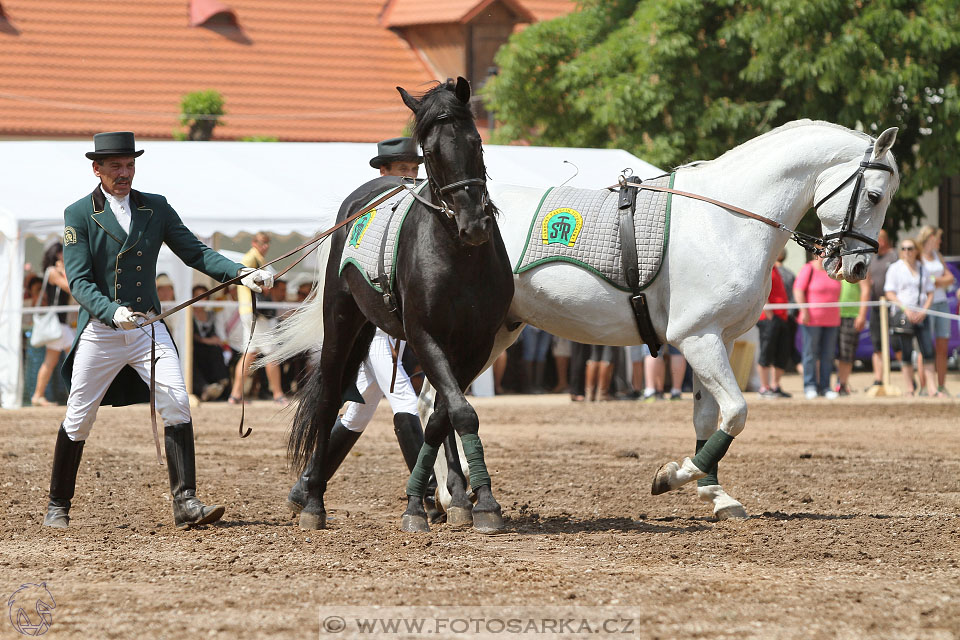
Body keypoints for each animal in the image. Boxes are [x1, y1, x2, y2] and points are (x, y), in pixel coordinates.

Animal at [288, 77, 512, 532]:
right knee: (328, 400)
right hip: (342, 321)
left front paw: (469, 501)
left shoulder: (475, 344)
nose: (475, 225)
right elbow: (458, 413)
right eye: (431, 151)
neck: (459, 256)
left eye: (476, 141)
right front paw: (428, 506)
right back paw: (313, 503)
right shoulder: (425, 336)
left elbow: (445, 415)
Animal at [428, 120, 900, 520]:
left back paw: (452, 497)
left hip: (495, 336)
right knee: (437, 400)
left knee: (440, 401)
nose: (858, 267)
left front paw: (716, 495)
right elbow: (736, 412)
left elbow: (707, 418)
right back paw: (454, 497)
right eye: (875, 196)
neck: (725, 221)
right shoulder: (698, 339)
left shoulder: (718, 340)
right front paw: (674, 476)